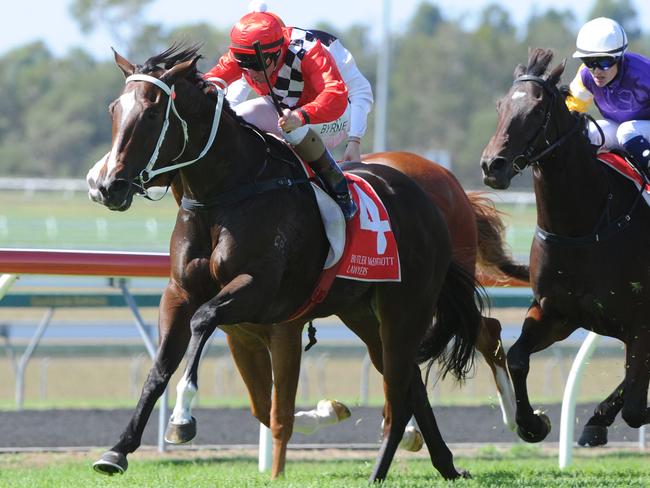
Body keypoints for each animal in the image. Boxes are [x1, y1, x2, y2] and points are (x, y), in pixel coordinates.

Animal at [86, 45, 484, 480]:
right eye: (113, 109)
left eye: (153, 113)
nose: (107, 186)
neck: (227, 192)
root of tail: (431, 202)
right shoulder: (180, 291)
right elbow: (159, 368)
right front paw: (117, 450)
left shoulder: (260, 291)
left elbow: (203, 321)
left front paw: (181, 419)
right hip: (362, 312)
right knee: (411, 383)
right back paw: (446, 465)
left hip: (406, 309)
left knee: (398, 393)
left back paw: (380, 471)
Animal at [476, 48, 648, 446]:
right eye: (501, 105)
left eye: (537, 109)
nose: (493, 165)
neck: (584, 227)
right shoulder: (557, 313)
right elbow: (517, 357)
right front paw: (533, 423)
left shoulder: (641, 322)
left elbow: (635, 406)